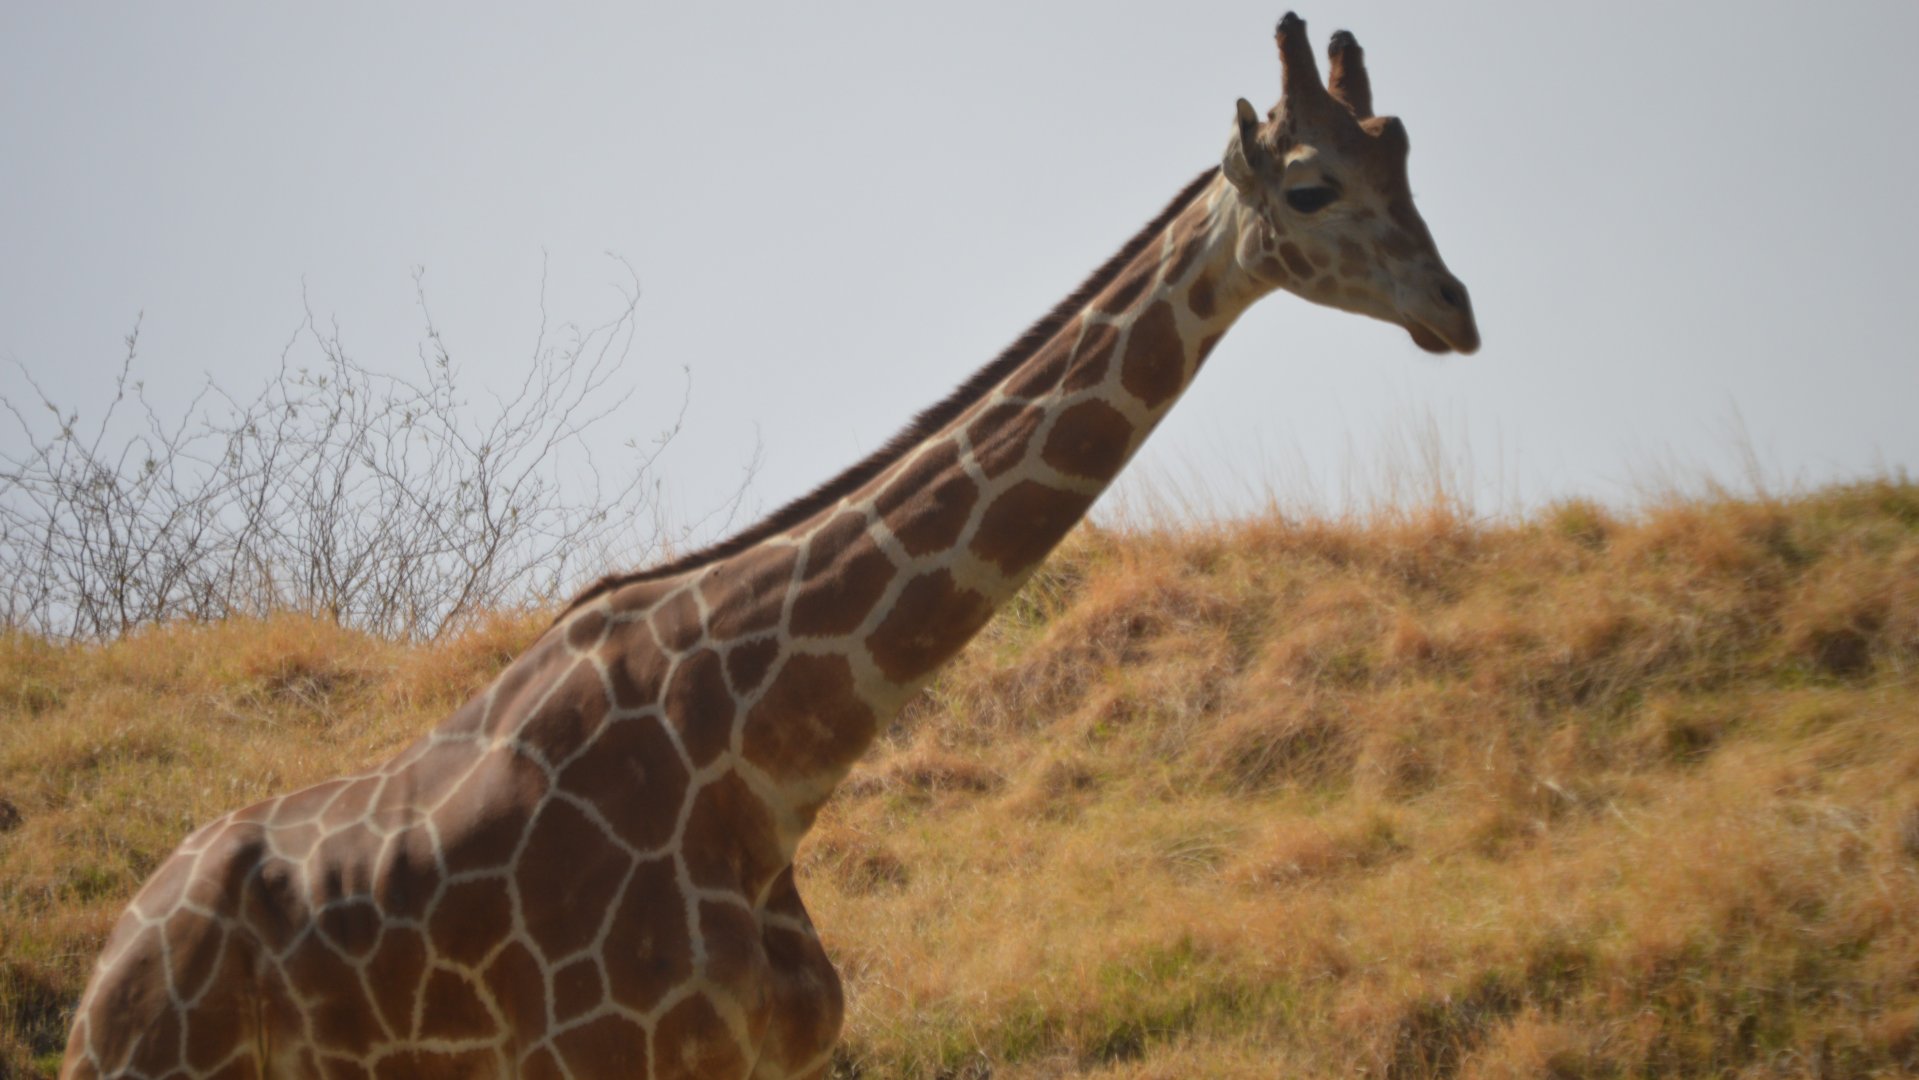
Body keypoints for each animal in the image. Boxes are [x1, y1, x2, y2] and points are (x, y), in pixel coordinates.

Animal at [62, 14, 1476, 1079]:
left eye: (1406, 159)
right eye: (1310, 184)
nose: (1453, 311)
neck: (763, 764)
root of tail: (103, 977)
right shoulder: (609, 1063)